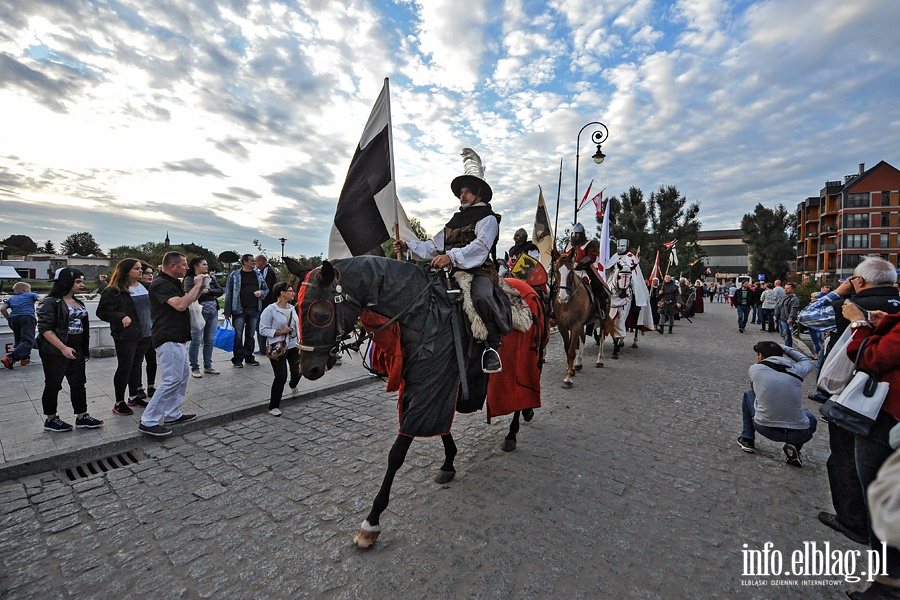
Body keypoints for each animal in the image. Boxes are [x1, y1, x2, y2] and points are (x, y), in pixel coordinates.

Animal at [296, 255, 544, 548]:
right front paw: (448, 463)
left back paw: (513, 433)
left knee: (520, 398)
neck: (424, 313)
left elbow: (397, 453)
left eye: (320, 314)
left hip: (526, 363)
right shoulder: (426, 388)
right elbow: (440, 428)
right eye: (296, 309)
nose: (308, 369)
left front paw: (371, 522)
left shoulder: (432, 385)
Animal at [552, 252, 616, 384]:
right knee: (582, 338)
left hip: (602, 320)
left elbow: (571, 351)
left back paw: (599, 360)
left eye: (571, 271)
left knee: (601, 338)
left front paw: (568, 379)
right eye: (556, 270)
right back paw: (578, 363)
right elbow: (568, 348)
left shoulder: (575, 325)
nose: (562, 297)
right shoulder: (562, 326)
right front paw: (571, 369)